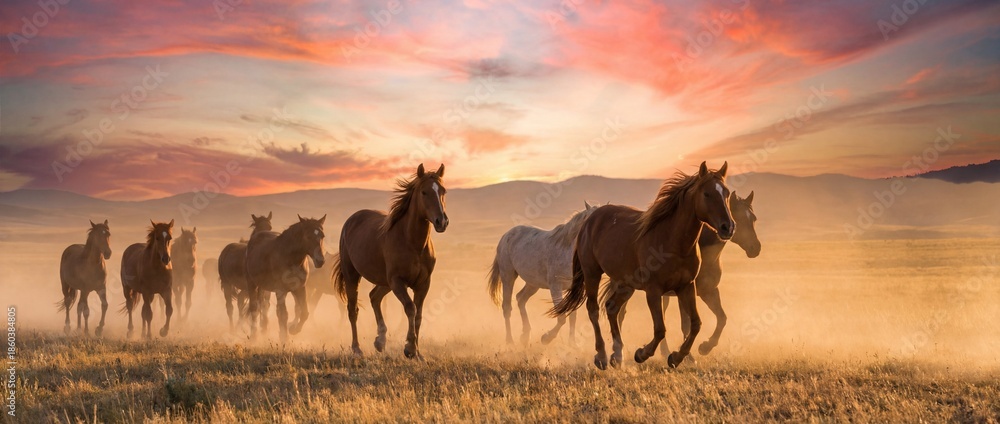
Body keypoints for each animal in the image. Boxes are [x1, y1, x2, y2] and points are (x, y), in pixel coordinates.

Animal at [333, 163, 449, 359]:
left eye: (443, 191)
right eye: (424, 192)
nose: (442, 221)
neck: (412, 243)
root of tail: (351, 220)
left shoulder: (423, 284)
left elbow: (419, 315)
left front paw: (418, 352)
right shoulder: (397, 281)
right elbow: (411, 308)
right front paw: (410, 348)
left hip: (384, 282)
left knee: (374, 297)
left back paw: (380, 341)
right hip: (353, 276)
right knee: (353, 309)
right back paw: (357, 349)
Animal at [487, 202, 598, 346]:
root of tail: (507, 235)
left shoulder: (573, 290)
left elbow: (572, 315)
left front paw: (572, 343)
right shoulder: (555, 286)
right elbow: (562, 317)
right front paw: (547, 338)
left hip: (533, 283)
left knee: (520, 298)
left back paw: (525, 336)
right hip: (508, 276)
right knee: (507, 307)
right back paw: (510, 341)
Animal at [551, 162, 735, 370]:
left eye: (727, 193)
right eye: (707, 194)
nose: (728, 227)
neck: (672, 241)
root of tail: (590, 219)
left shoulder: (686, 286)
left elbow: (695, 324)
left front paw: (677, 357)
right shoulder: (653, 290)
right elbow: (661, 329)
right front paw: (642, 354)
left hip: (625, 283)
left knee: (612, 307)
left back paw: (617, 355)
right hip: (592, 274)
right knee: (593, 309)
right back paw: (602, 356)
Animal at [616, 191, 761, 357]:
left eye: (753, 218)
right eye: (739, 218)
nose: (755, 248)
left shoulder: (709, 291)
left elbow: (722, 318)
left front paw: (705, 347)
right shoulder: (685, 292)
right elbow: (686, 324)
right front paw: (687, 355)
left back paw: (662, 351)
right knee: (619, 313)